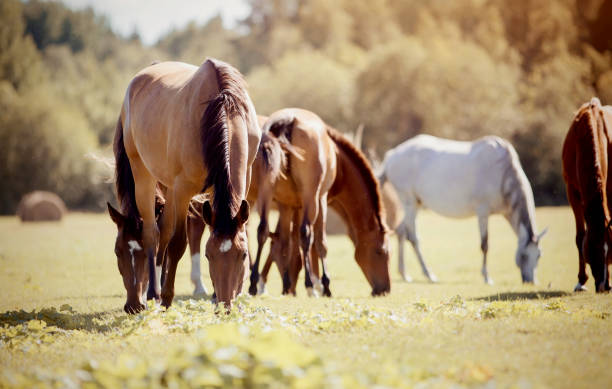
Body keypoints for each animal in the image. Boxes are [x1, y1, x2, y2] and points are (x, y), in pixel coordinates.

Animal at [107, 58, 260, 312]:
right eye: (208, 256)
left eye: (243, 255)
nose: (225, 307)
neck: (221, 109)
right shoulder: (182, 190)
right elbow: (178, 243)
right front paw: (167, 297)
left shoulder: (238, 182)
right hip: (144, 175)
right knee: (153, 232)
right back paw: (153, 293)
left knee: (163, 229)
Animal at [252, 107, 392, 296]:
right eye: (380, 252)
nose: (385, 289)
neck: (339, 161)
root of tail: (287, 121)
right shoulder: (319, 200)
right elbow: (318, 242)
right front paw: (321, 284)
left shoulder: (289, 204)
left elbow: (286, 242)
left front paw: (287, 283)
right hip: (310, 198)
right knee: (305, 234)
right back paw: (309, 285)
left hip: (266, 194)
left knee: (263, 230)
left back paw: (253, 283)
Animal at [380, 135, 548, 284]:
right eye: (524, 256)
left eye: (539, 255)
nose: (531, 281)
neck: (503, 172)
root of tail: (392, 155)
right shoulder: (483, 212)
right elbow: (485, 244)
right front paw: (487, 277)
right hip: (409, 201)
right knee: (413, 237)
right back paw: (429, 275)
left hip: (418, 203)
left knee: (401, 231)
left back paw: (404, 274)